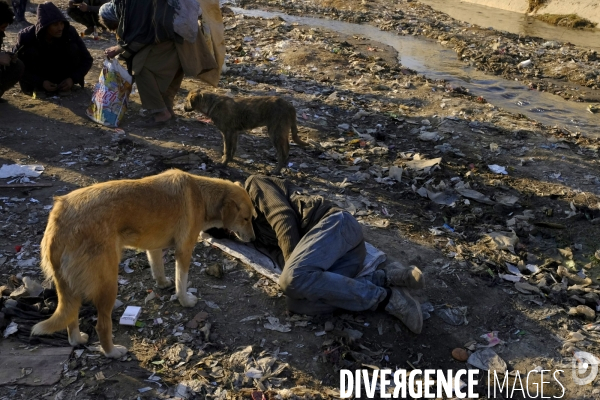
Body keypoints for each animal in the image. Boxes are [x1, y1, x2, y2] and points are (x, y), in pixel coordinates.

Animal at [31, 170, 255, 358]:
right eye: (245, 219)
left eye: (252, 218)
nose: (252, 240)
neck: (202, 194)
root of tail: (59, 219)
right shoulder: (184, 251)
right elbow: (181, 281)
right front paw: (185, 300)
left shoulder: (153, 246)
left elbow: (158, 268)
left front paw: (163, 284)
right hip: (108, 283)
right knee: (102, 325)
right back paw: (112, 352)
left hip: (70, 287)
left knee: (71, 317)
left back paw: (77, 340)